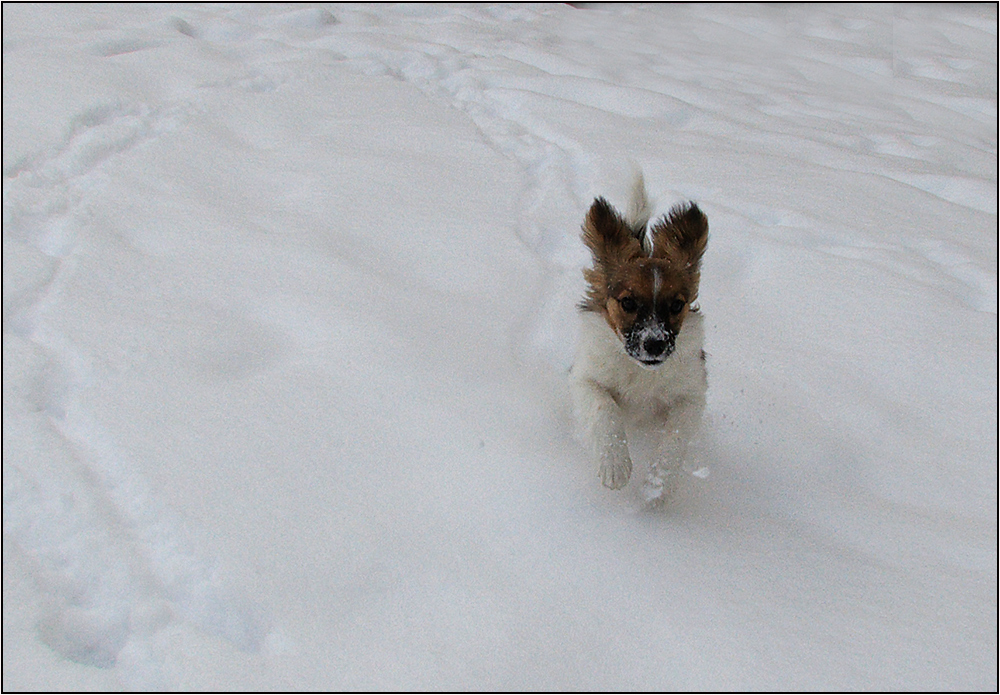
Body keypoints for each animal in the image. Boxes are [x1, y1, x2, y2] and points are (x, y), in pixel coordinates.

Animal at [572, 171, 712, 502]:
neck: (641, 372)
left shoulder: (691, 395)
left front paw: (657, 486)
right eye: (628, 303)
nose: (655, 344)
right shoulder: (586, 380)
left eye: (676, 305)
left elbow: (675, 438)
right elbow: (605, 410)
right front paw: (615, 466)